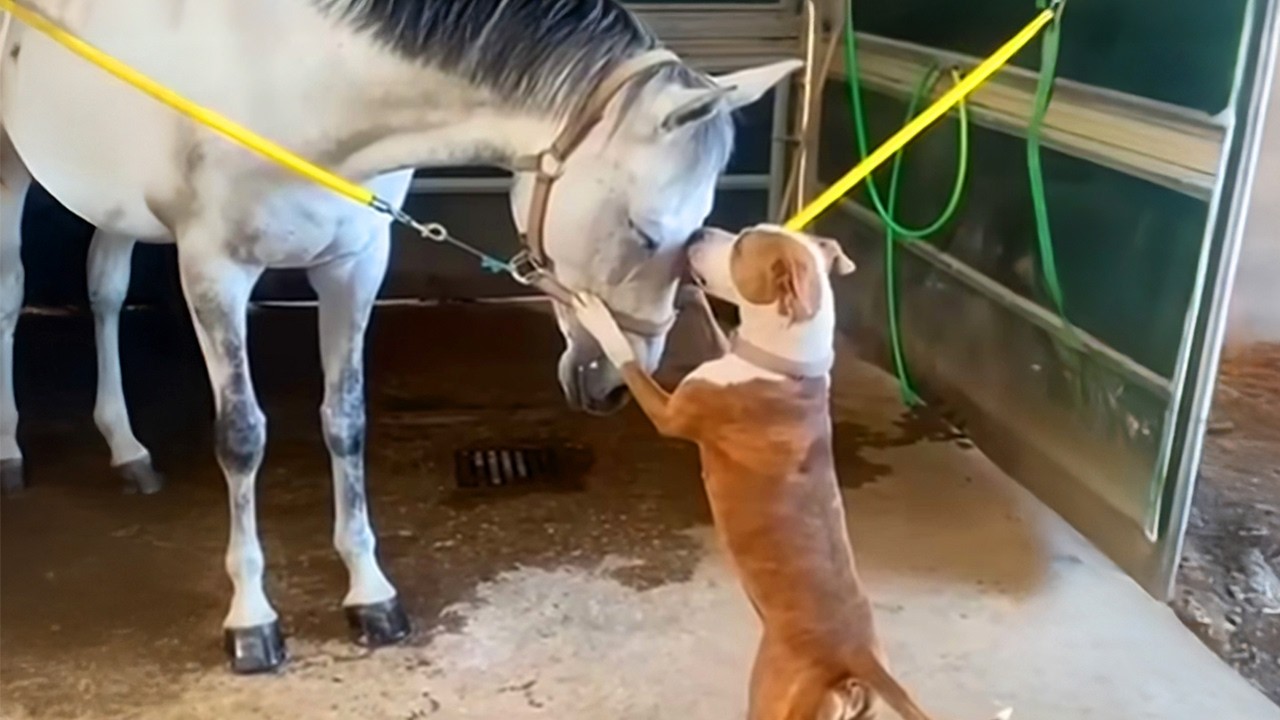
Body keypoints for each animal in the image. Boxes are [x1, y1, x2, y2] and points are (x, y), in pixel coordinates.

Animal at [0, 0, 799, 673]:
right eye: (644, 231)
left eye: (698, 233)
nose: (610, 385)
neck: (297, 85)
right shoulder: (214, 271)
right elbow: (242, 437)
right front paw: (252, 620)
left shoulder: (355, 263)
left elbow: (346, 422)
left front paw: (370, 594)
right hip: (11, 169)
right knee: (11, 290)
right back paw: (11, 449)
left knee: (105, 288)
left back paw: (126, 449)